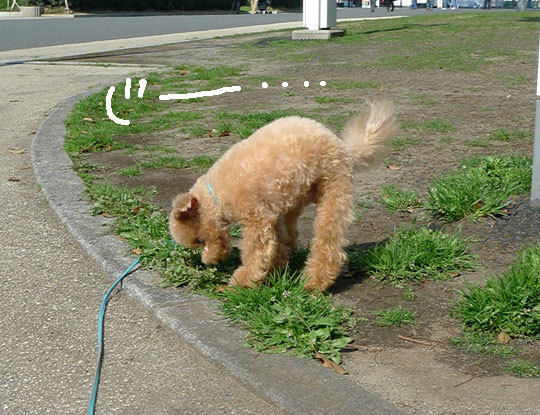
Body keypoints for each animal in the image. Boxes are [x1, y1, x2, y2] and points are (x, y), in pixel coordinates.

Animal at [169, 100, 396, 292]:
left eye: (199, 239)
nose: (209, 262)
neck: (216, 195)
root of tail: (345, 149)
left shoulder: (256, 219)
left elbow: (254, 253)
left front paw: (240, 283)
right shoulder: (270, 214)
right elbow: (274, 246)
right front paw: (268, 273)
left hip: (334, 191)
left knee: (327, 243)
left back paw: (314, 282)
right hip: (293, 200)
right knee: (290, 237)